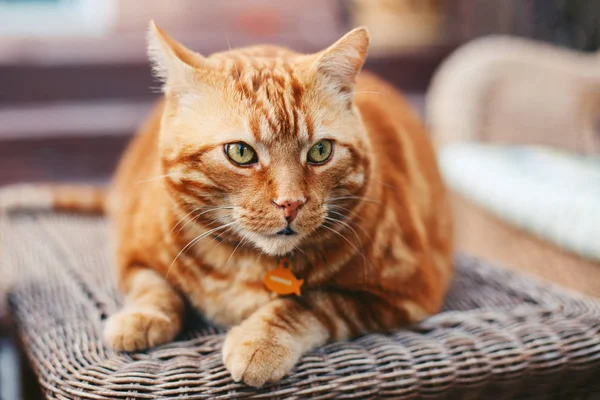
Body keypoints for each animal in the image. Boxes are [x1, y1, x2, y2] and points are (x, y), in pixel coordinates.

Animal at [99, 21, 454, 388]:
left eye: (320, 151)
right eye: (241, 152)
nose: (290, 203)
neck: (243, 266)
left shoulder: (403, 292)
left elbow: (310, 303)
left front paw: (260, 340)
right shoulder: (132, 256)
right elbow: (153, 287)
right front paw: (140, 318)